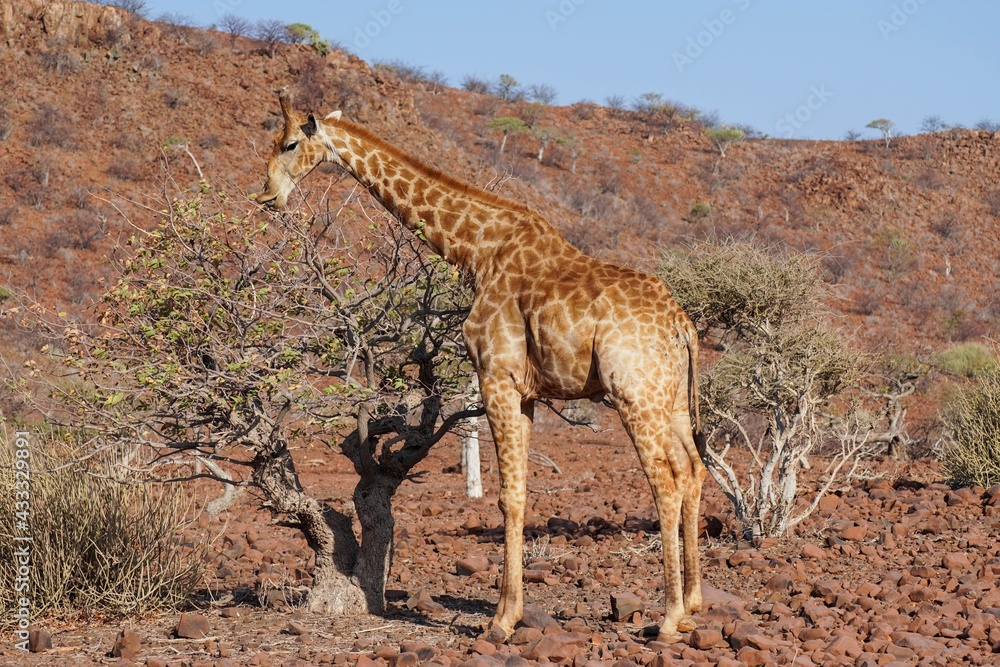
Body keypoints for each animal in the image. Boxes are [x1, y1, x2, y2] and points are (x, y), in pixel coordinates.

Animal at [256, 89, 707, 644]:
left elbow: (507, 497)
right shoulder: (527, 392)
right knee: (693, 471)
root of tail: (683, 325)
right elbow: (521, 492)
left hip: (634, 394)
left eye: (290, 143)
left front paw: (501, 620)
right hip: (672, 400)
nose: (267, 195)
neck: (476, 250)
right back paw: (691, 605)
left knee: (664, 480)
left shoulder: (497, 378)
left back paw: (667, 618)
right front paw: (509, 611)